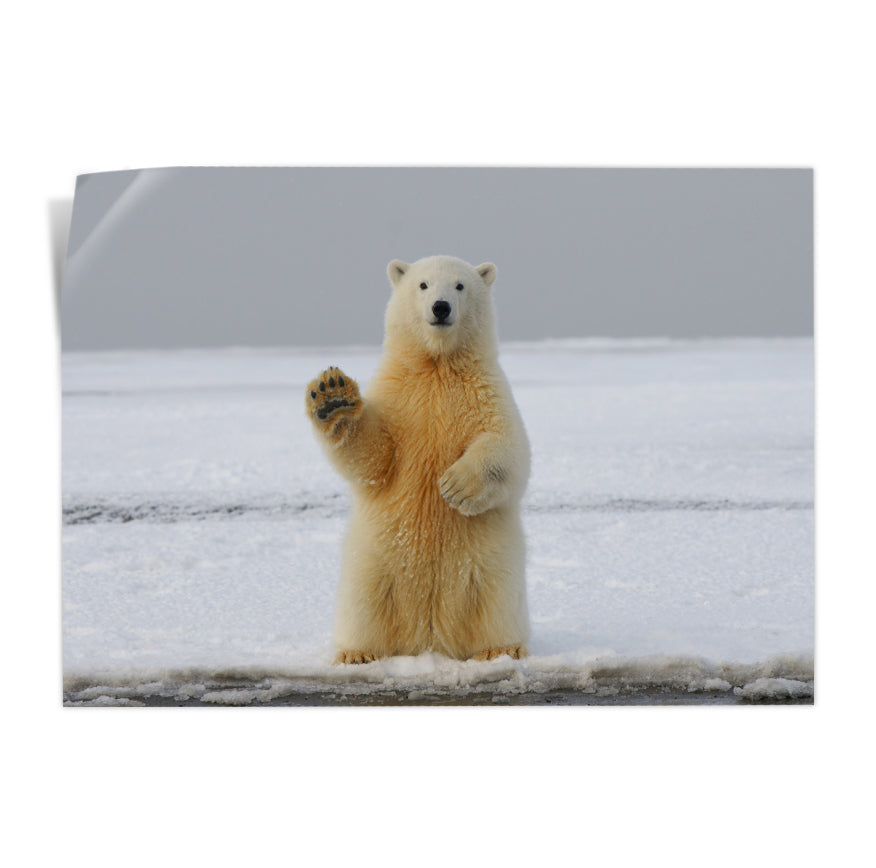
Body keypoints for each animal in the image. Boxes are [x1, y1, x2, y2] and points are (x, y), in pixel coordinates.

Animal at [305, 255, 530, 663]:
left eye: (460, 285)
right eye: (423, 285)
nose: (440, 308)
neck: (437, 365)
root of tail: (429, 638)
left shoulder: (487, 393)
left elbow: (508, 447)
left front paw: (455, 486)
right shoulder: (398, 397)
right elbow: (376, 457)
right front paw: (333, 395)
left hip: (492, 566)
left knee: (497, 603)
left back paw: (501, 649)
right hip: (373, 562)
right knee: (363, 605)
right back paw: (356, 653)